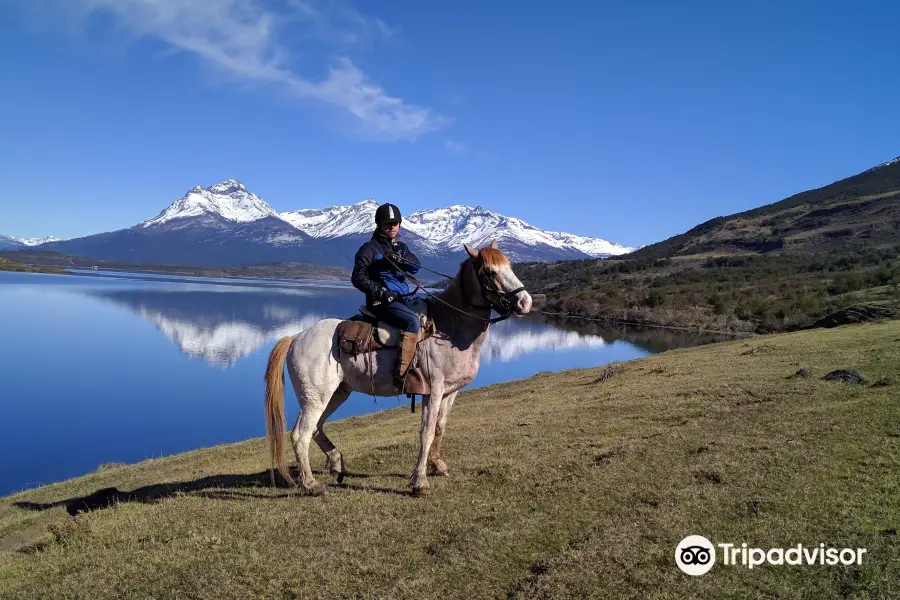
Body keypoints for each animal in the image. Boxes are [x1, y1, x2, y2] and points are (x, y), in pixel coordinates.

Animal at [264, 239, 532, 496]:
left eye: (509, 266)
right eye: (490, 271)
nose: (525, 302)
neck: (449, 328)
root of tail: (296, 337)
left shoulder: (451, 391)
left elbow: (440, 427)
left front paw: (438, 465)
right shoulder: (433, 392)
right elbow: (427, 432)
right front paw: (420, 482)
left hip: (337, 393)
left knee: (316, 428)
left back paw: (337, 464)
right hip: (315, 398)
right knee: (301, 435)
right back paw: (311, 485)